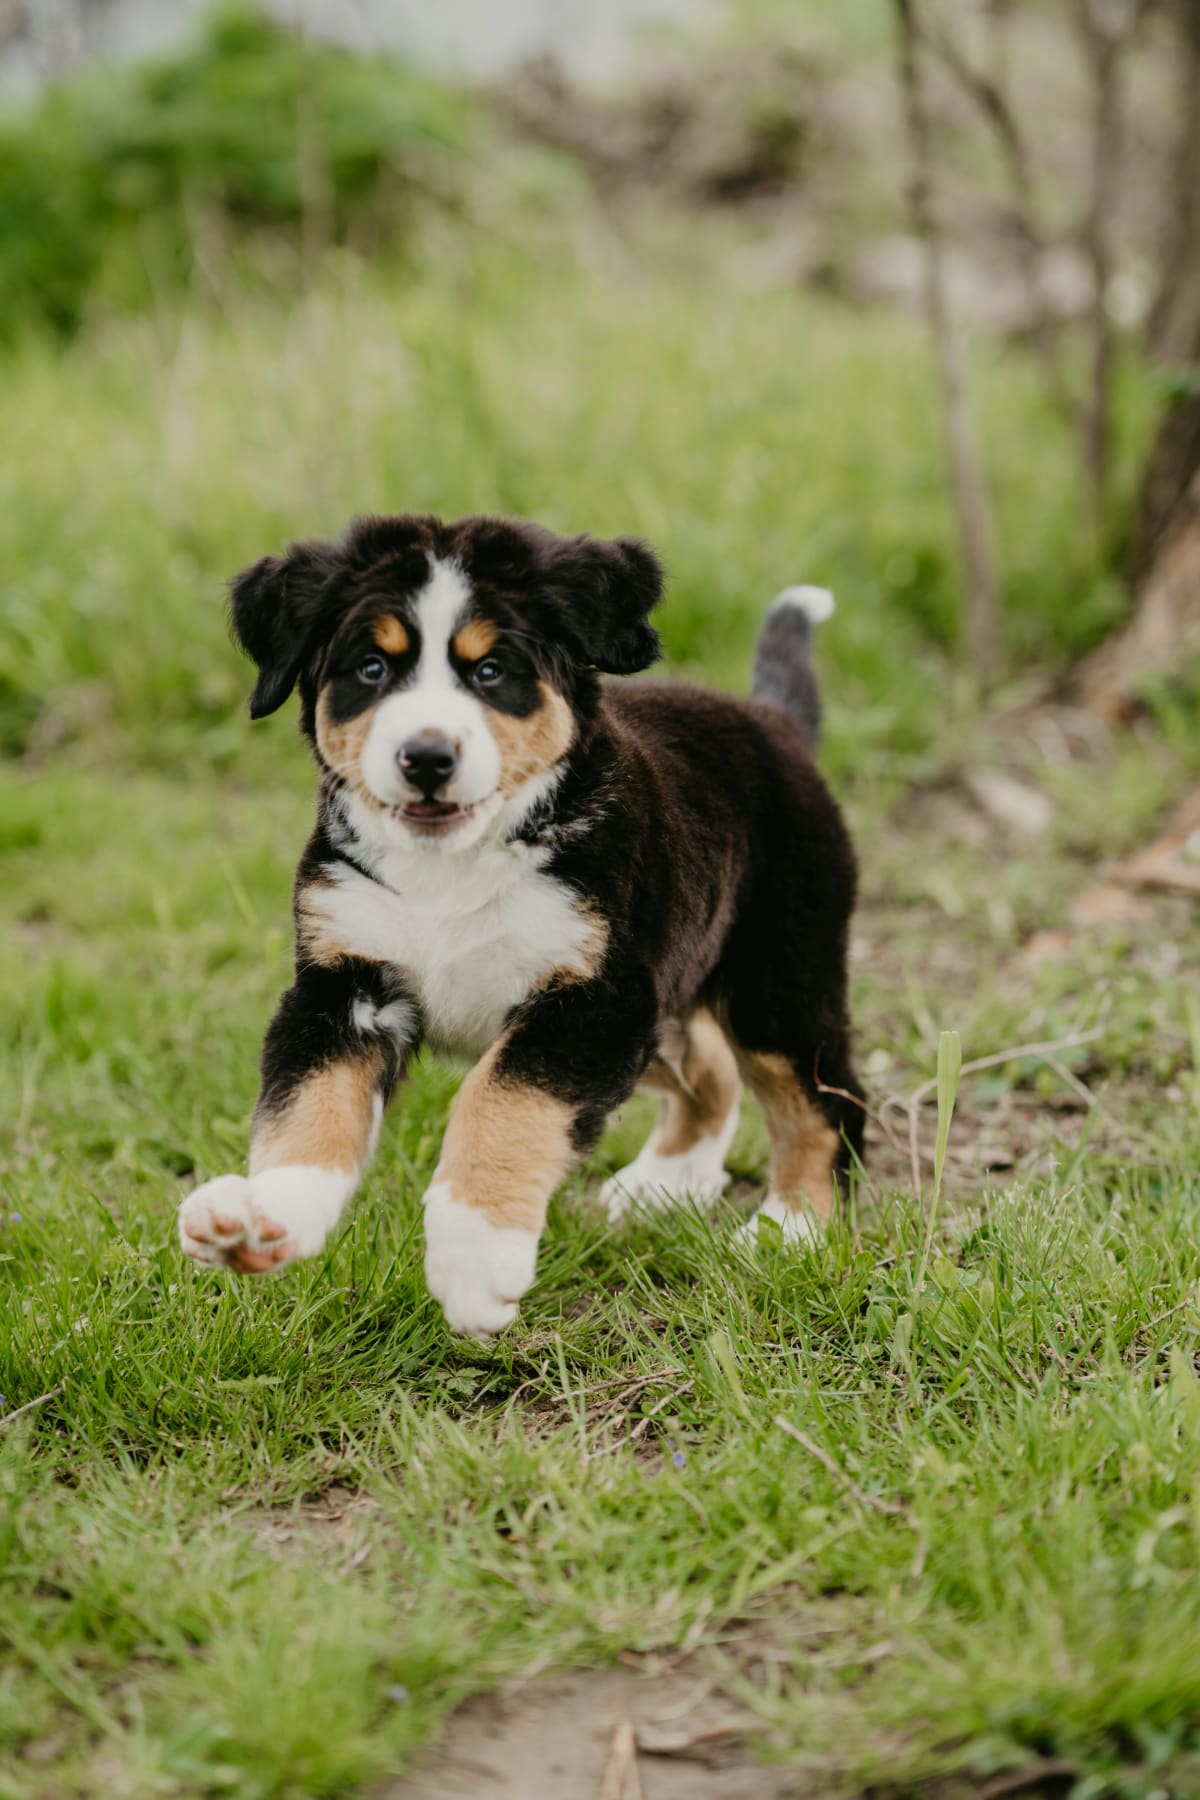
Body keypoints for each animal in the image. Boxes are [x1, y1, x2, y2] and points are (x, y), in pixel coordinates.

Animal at [176, 514, 863, 1332]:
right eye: (372, 669)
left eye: (491, 671)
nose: (427, 757)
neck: (450, 871)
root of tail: (771, 721)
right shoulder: (343, 986)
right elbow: (305, 1105)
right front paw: (265, 1215)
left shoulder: (590, 1000)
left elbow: (502, 1101)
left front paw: (476, 1260)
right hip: (666, 999)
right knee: (710, 1069)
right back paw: (664, 1184)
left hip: (778, 981)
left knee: (822, 1103)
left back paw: (792, 1229)